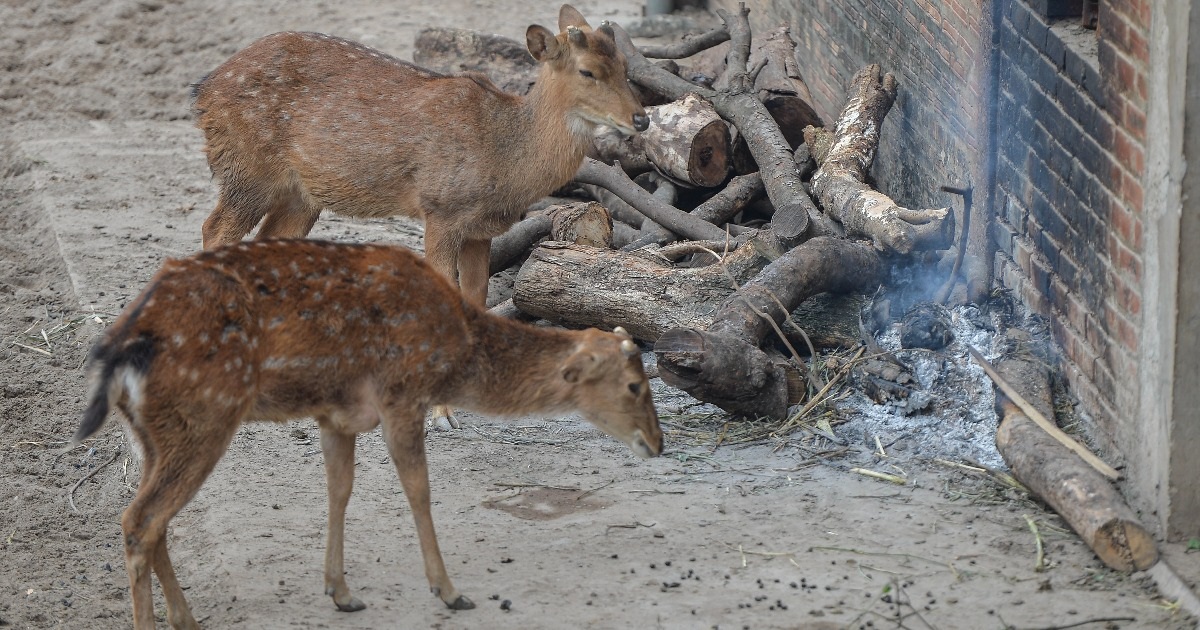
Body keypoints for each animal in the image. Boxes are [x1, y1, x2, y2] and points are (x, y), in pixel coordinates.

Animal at [73, 240, 662, 628]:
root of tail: (121, 347)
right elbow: (419, 490)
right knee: (140, 520)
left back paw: (188, 619)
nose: (658, 443)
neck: (457, 349)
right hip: (204, 416)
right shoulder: (402, 392)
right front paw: (449, 591)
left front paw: (341, 592)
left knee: (151, 520)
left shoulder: (338, 415)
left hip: (152, 433)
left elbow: (340, 490)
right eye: (636, 385)